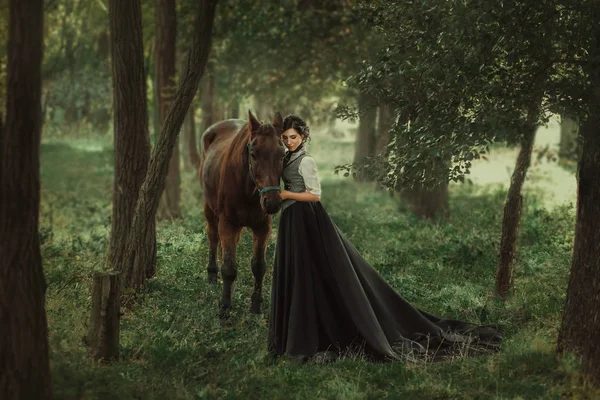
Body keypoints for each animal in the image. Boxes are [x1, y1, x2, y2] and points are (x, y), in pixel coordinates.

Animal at [198, 111, 284, 318]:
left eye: (282, 154)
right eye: (253, 154)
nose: (273, 202)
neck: (246, 188)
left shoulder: (262, 227)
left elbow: (259, 266)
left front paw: (255, 306)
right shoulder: (227, 223)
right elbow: (229, 268)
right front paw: (224, 308)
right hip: (210, 210)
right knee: (213, 236)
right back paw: (212, 274)